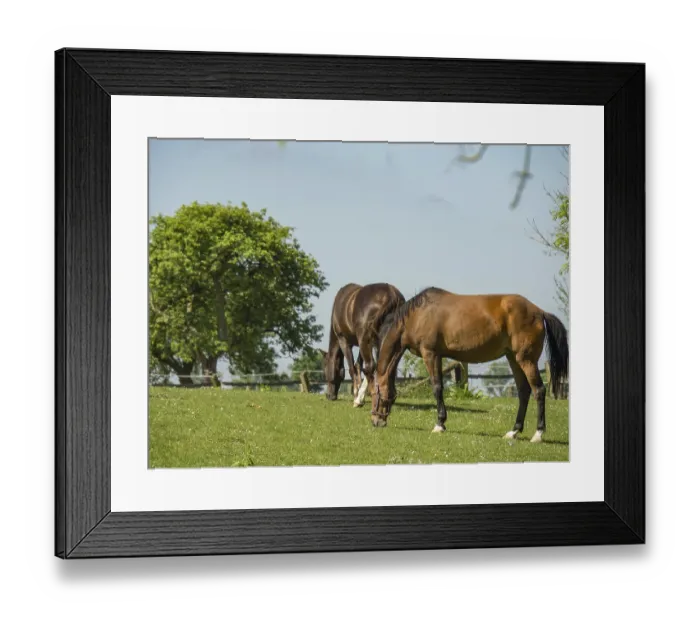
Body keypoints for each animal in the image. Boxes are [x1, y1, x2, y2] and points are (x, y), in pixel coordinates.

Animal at [371, 287, 569, 443]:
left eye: (375, 394)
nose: (375, 421)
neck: (417, 315)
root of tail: (539, 312)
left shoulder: (430, 354)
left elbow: (437, 387)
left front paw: (439, 424)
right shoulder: (438, 356)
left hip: (526, 360)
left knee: (539, 391)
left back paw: (538, 434)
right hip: (513, 359)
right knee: (524, 392)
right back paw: (513, 432)